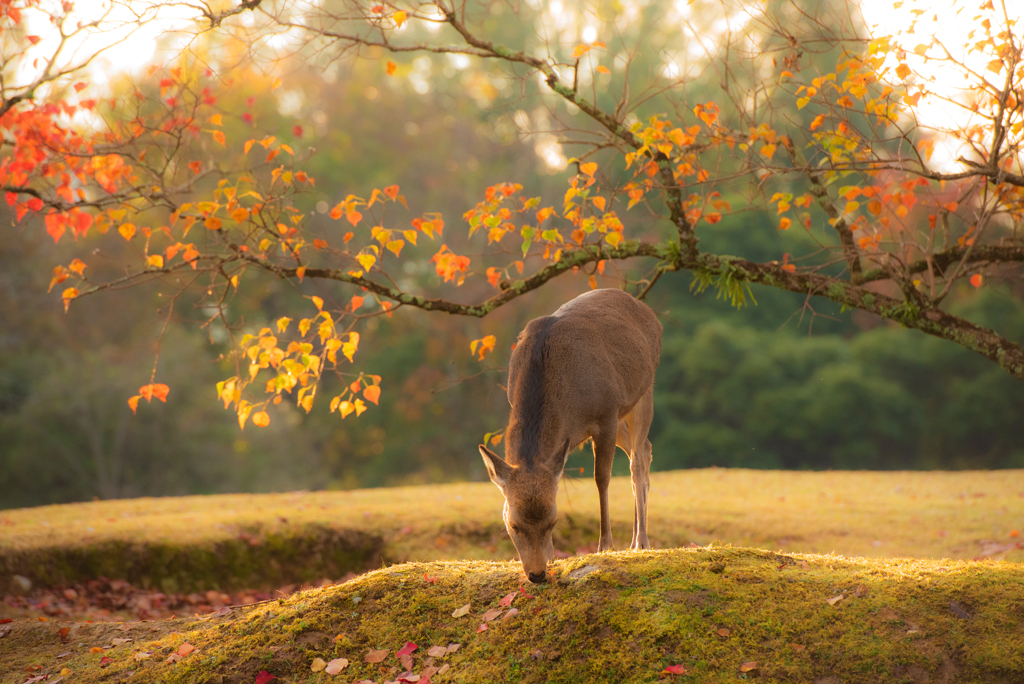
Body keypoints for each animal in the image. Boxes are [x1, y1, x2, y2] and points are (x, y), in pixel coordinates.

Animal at [479, 288, 663, 581]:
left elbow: (602, 478)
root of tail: (649, 312)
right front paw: (553, 557)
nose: (537, 574)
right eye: (513, 524)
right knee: (645, 447)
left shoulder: (606, 414)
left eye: (553, 520)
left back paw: (641, 541)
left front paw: (605, 545)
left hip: (644, 390)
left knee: (637, 462)